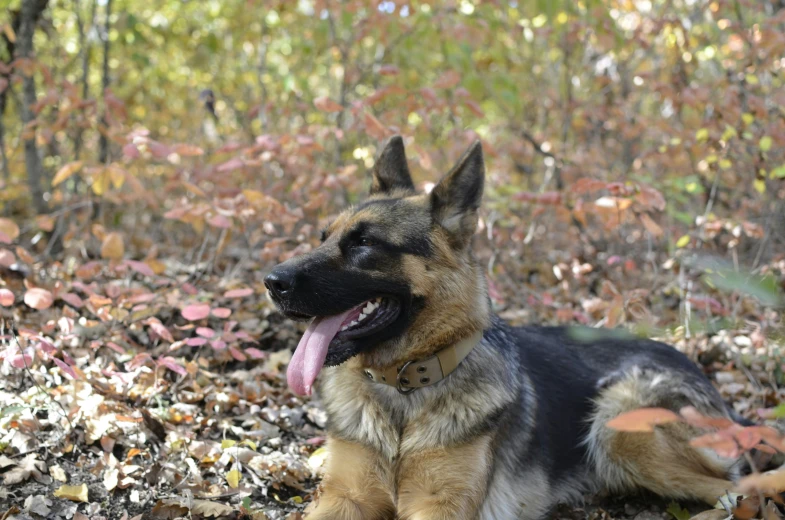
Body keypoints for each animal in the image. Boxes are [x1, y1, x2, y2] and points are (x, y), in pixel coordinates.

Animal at [264, 137, 748, 520]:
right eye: (324, 237)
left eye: (364, 243)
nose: (272, 281)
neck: (403, 393)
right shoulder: (345, 497)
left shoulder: (440, 506)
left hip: (620, 424)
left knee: (742, 489)